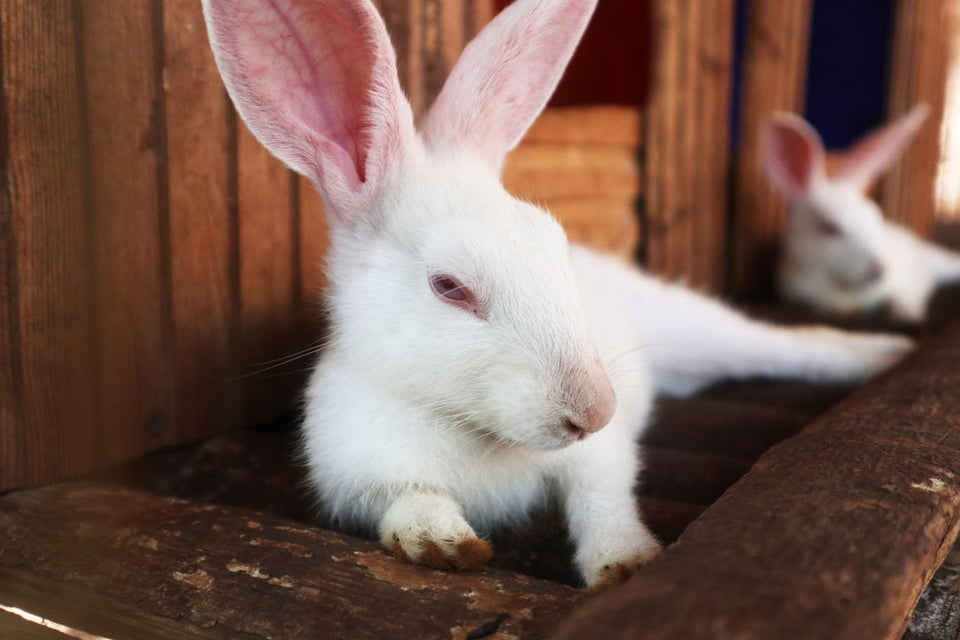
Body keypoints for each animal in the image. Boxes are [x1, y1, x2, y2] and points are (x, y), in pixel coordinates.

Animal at [202, 0, 913, 588]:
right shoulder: (357, 475)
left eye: (554, 243)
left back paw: (884, 354)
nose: (596, 410)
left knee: (791, 345)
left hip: (705, 332)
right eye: (449, 287)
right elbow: (408, 500)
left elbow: (604, 500)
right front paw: (443, 543)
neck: (473, 428)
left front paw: (625, 564)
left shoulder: (601, 460)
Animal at [761, 105, 960, 322]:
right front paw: (846, 309)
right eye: (830, 228)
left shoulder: (905, 281)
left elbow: (906, 298)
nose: (880, 270)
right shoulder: (802, 291)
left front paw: (907, 315)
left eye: (875, 216)